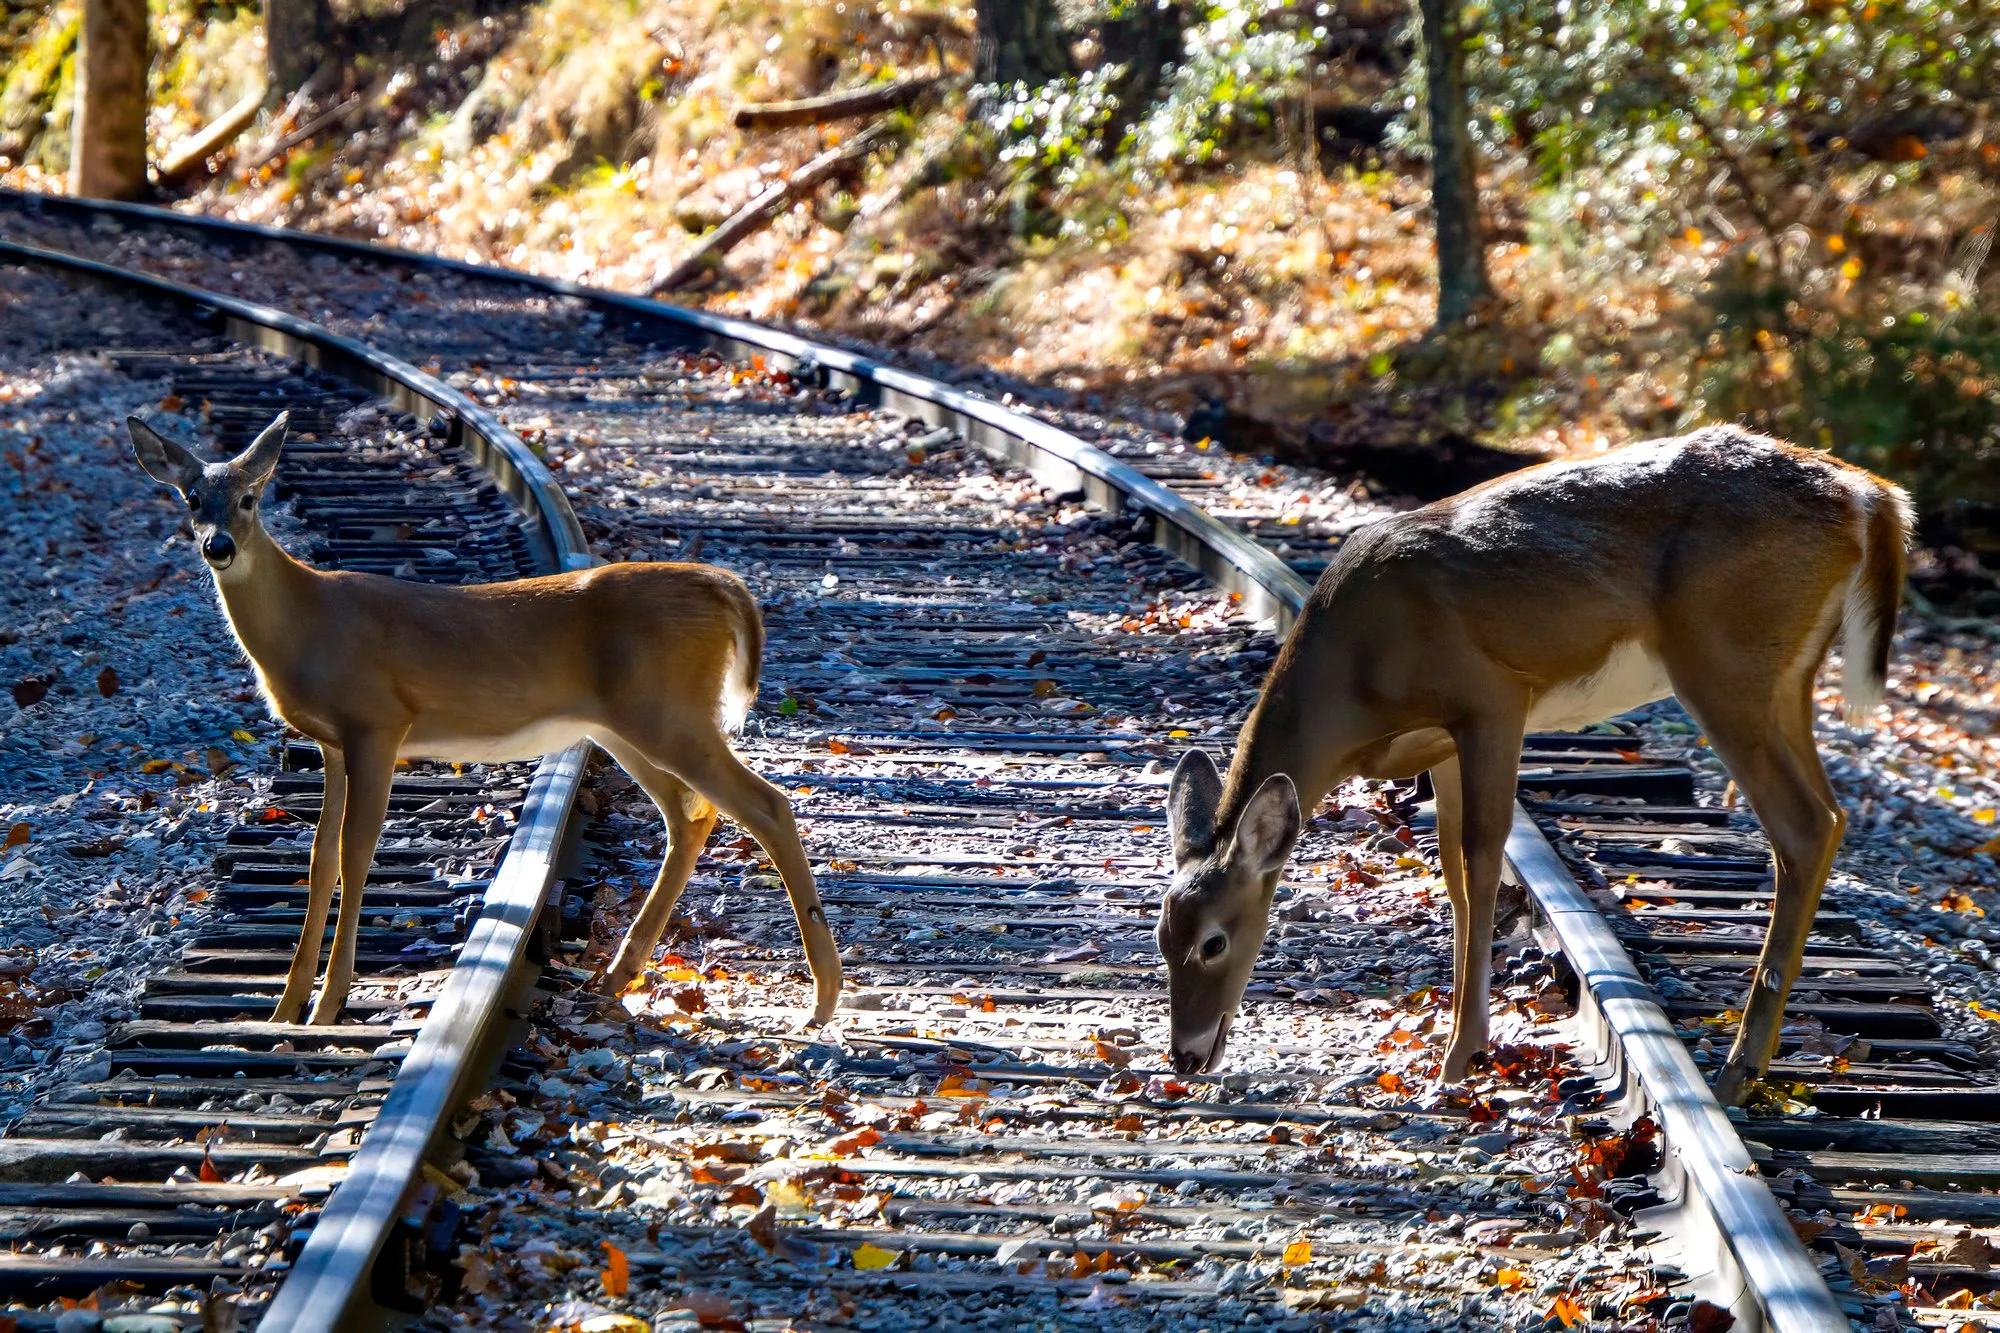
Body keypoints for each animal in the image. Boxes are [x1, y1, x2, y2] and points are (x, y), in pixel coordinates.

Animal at [128, 411, 843, 1027]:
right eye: (192, 499)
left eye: (251, 498)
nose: (218, 546)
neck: (308, 623)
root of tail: (722, 587)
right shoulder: (331, 741)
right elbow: (320, 855)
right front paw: (284, 1009)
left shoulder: (377, 721)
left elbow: (358, 853)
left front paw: (328, 1005)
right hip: (629, 725)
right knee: (691, 816)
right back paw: (616, 976)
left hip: (670, 714)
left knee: (767, 805)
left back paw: (824, 998)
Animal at [1156, 426, 1909, 1106]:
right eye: (1162, 937)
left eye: (1214, 943)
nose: (1185, 1057)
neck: (1356, 683)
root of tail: (1869, 495)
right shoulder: (1443, 744)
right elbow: (1455, 877)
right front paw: (1465, 1042)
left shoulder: (1490, 697)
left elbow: (1484, 860)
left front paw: (1458, 1059)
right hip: (1786, 679)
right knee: (1831, 815)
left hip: (1725, 659)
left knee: (1801, 825)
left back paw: (1738, 1072)